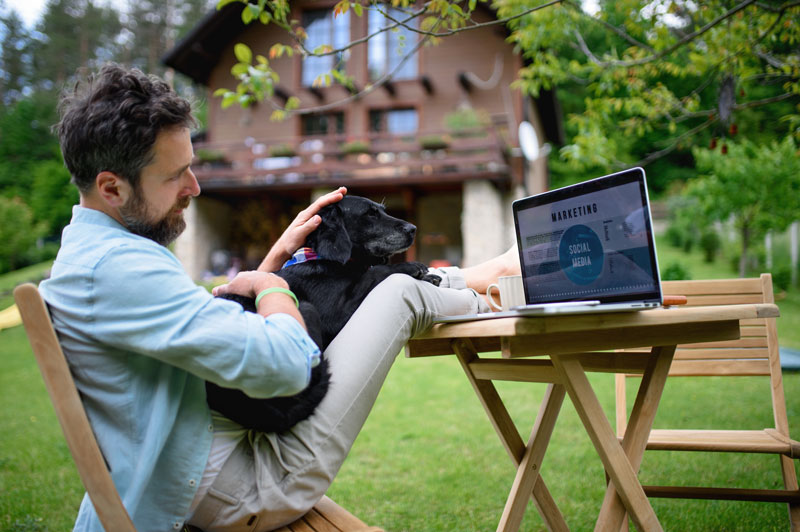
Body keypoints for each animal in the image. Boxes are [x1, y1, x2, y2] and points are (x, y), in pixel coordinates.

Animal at [205, 195, 444, 432]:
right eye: (370, 213)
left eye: (383, 210)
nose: (413, 229)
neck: (328, 260)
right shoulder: (336, 314)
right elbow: (375, 272)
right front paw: (412, 267)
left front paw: (429, 277)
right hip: (305, 310)